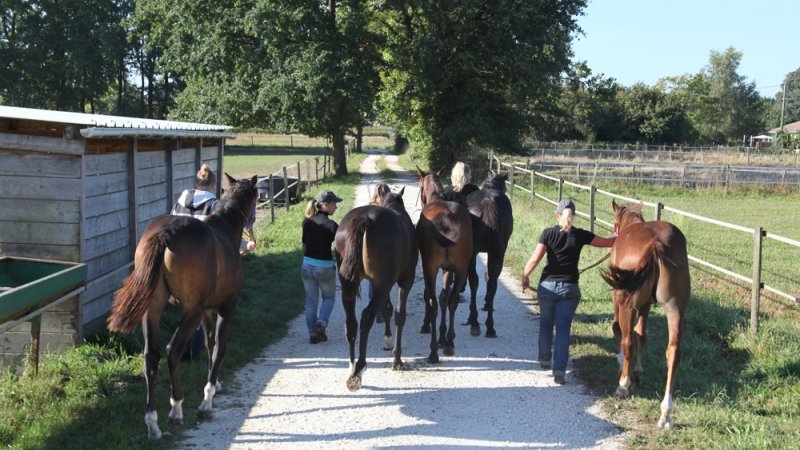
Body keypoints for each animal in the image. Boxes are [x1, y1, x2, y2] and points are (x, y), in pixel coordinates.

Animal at [107, 174, 258, 440]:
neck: (224, 231)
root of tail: (165, 233)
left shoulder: (207, 310)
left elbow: (209, 342)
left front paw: (215, 384)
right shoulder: (225, 307)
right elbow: (219, 346)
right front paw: (207, 400)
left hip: (153, 310)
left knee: (151, 356)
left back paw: (152, 422)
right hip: (191, 311)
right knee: (172, 350)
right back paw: (176, 408)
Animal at [335, 184, 418, 391]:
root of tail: (363, 220)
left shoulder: (378, 283)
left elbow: (387, 308)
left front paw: (387, 339)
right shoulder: (405, 279)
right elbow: (399, 314)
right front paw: (397, 359)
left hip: (350, 284)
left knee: (351, 322)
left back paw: (351, 367)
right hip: (384, 284)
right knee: (366, 317)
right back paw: (359, 369)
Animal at [416, 167, 473, 361]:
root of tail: (447, 219)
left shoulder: (429, 268)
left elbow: (431, 296)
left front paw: (427, 326)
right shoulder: (448, 269)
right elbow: (444, 297)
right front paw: (443, 335)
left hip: (430, 268)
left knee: (432, 302)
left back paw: (433, 351)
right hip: (461, 268)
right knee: (452, 300)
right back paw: (449, 343)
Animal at [463, 171, 513, 337]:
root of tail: (488, 202)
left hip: (474, 253)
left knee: (475, 281)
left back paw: (474, 321)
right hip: (498, 253)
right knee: (492, 283)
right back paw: (490, 326)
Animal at [601, 200, 690, 430]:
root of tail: (656, 244)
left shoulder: (622, 303)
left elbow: (621, 331)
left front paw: (623, 366)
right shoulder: (646, 306)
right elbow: (642, 334)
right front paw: (639, 371)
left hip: (626, 304)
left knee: (627, 340)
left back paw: (623, 385)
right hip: (675, 308)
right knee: (673, 352)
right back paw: (666, 413)